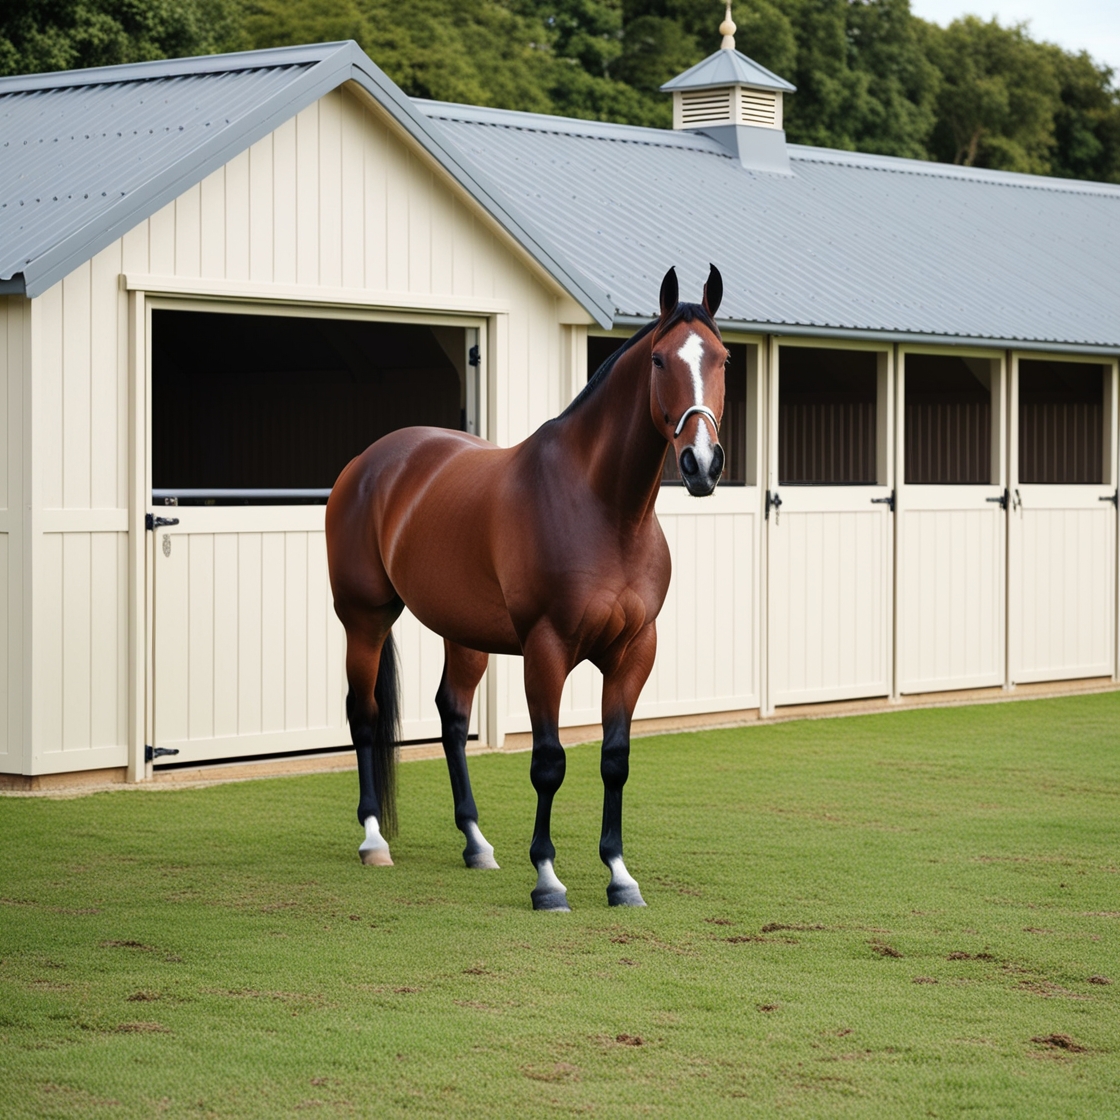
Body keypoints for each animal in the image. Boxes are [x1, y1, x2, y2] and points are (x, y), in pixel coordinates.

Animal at [325, 265, 728, 910]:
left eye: (722, 358)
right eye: (660, 359)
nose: (701, 464)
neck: (604, 509)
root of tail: (369, 463)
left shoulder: (635, 651)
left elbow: (615, 760)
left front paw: (620, 876)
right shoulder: (547, 649)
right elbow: (548, 762)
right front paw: (547, 879)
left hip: (463, 633)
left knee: (453, 719)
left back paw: (475, 843)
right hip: (364, 618)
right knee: (363, 716)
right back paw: (373, 842)